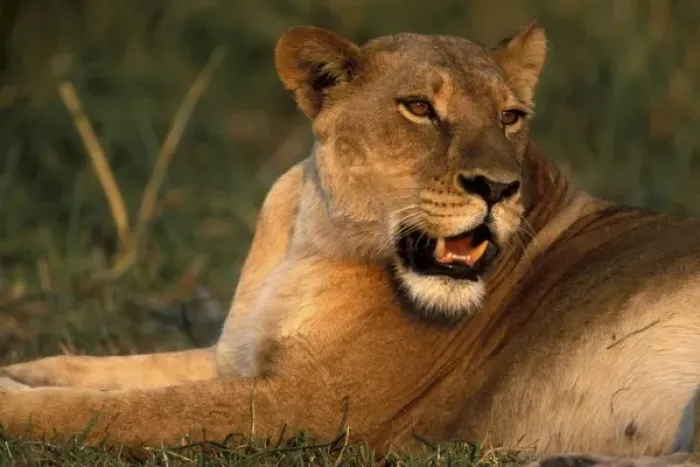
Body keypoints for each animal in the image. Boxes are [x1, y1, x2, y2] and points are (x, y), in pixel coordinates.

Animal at [2, 22, 700, 467]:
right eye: (418, 108)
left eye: (511, 117)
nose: (498, 188)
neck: (315, 236)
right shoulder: (239, 358)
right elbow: (116, 371)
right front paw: (23, 369)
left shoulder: (311, 407)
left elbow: (131, 412)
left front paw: (13, 402)